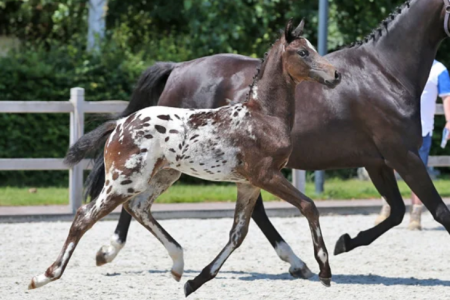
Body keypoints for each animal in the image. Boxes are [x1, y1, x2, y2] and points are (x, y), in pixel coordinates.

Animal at [29, 20, 342, 296]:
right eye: (303, 52)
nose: (336, 75)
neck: (263, 115)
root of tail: (119, 125)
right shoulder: (267, 176)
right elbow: (308, 206)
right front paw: (324, 271)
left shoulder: (248, 184)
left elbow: (237, 235)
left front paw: (196, 282)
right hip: (123, 181)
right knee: (85, 216)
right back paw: (44, 276)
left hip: (163, 175)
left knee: (138, 208)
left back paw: (178, 263)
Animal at [91, 0, 450, 276]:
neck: (384, 72)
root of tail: (177, 69)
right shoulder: (403, 155)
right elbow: (437, 211)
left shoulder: (380, 162)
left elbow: (397, 211)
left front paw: (344, 242)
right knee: (131, 199)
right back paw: (109, 251)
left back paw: (296, 262)